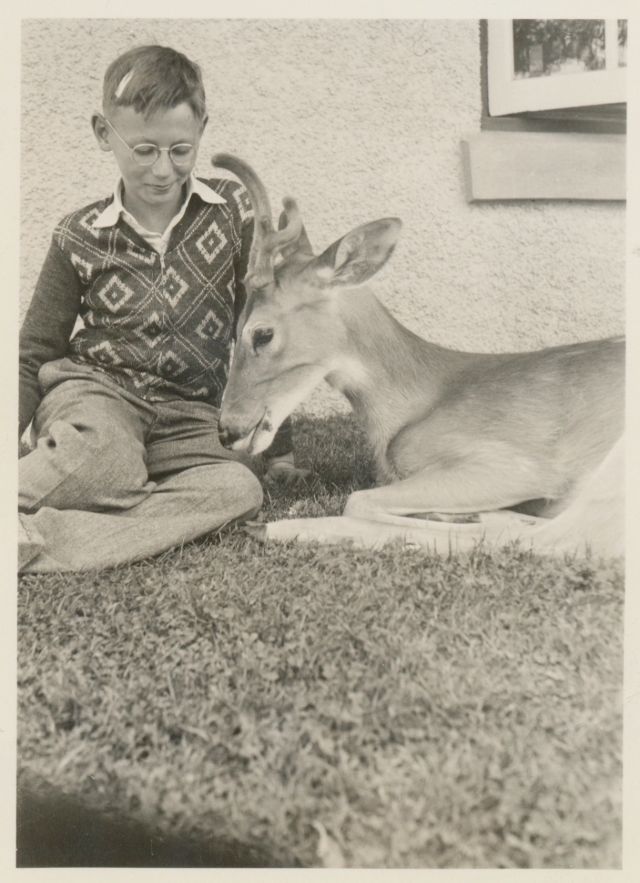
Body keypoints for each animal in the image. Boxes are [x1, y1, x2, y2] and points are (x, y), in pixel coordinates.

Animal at [214, 154, 625, 558]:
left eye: (262, 333)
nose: (227, 430)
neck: (412, 406)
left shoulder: (518, 466)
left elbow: (358, 500)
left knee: (558, 538)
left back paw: (271, 527)